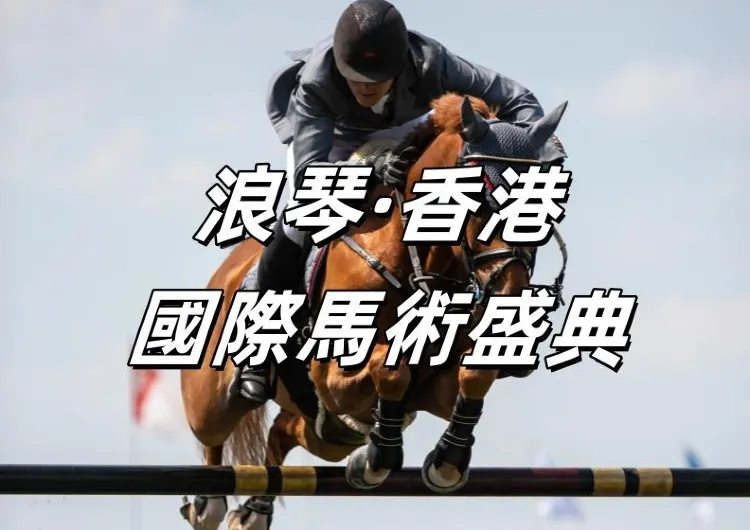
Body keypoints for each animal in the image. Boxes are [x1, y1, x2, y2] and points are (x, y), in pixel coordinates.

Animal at [179, 92, 569, 530]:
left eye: (547, 205)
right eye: (481, 200)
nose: (510, 295)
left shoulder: (434, 390)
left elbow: (473, 374)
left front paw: (446, 461)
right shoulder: (332, 374)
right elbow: (390, 367)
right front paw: (378, 458)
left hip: (325, 433)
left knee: (284, 432)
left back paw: (256, 510)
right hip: (213, 402)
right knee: (213, 436)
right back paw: (209, 502)